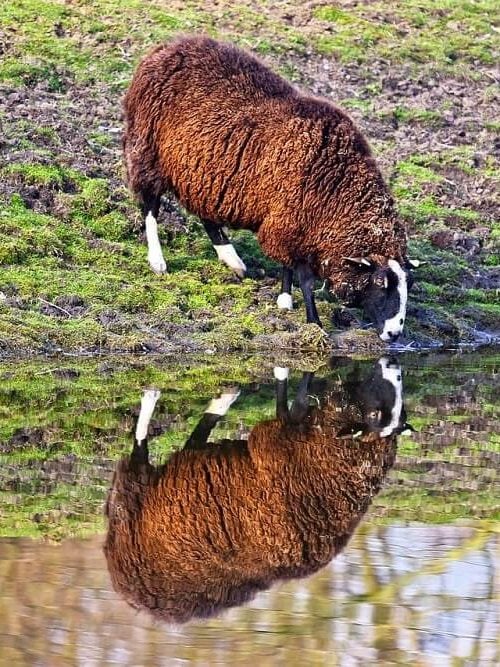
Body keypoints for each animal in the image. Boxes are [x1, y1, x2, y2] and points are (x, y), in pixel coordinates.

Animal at [104, 357, 409, 623]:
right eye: (375, 413)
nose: (391, 363)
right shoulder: (277, 435)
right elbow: (292, 397)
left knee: (187, 445)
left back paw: (221, 398)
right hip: (132, 499)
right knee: (140, 451)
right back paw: (154, 395)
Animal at [123, 36, 421, 342]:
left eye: (407, 285)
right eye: (380, 283)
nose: (395, 333)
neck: (335, 186)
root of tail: (169, 46)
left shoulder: (289, 223)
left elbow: (289, 267)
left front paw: (285, 300)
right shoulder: (287, 222)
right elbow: (304, 277)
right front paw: (312, 320)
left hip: (201, 175)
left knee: (206, 215)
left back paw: (232, 260)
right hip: (147, 150)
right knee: (150, 206)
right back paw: (158, 261)